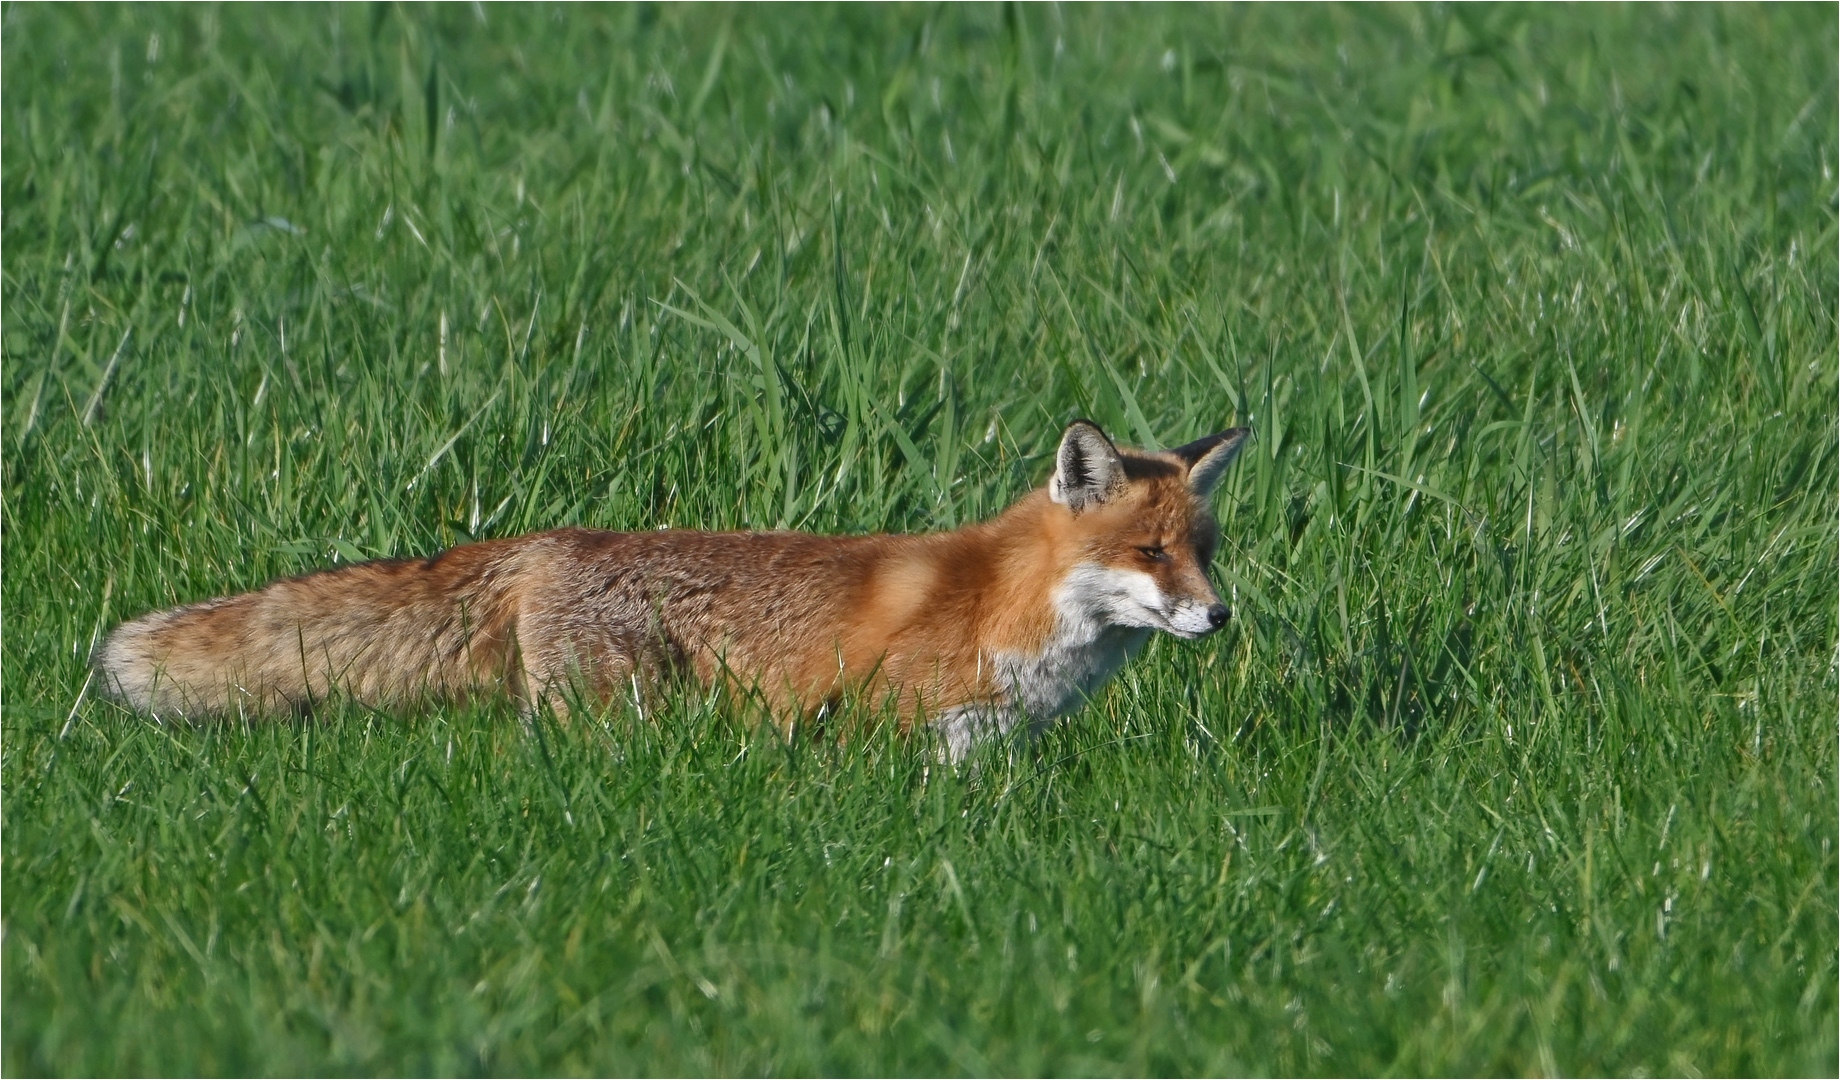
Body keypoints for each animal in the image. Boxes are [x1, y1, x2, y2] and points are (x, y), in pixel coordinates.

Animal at [97, 423, 1251, 761]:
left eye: (1204, 552)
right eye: (1151, 555)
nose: (1219, 614)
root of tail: (549, 541)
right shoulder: (899, 730)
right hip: (616, 717)